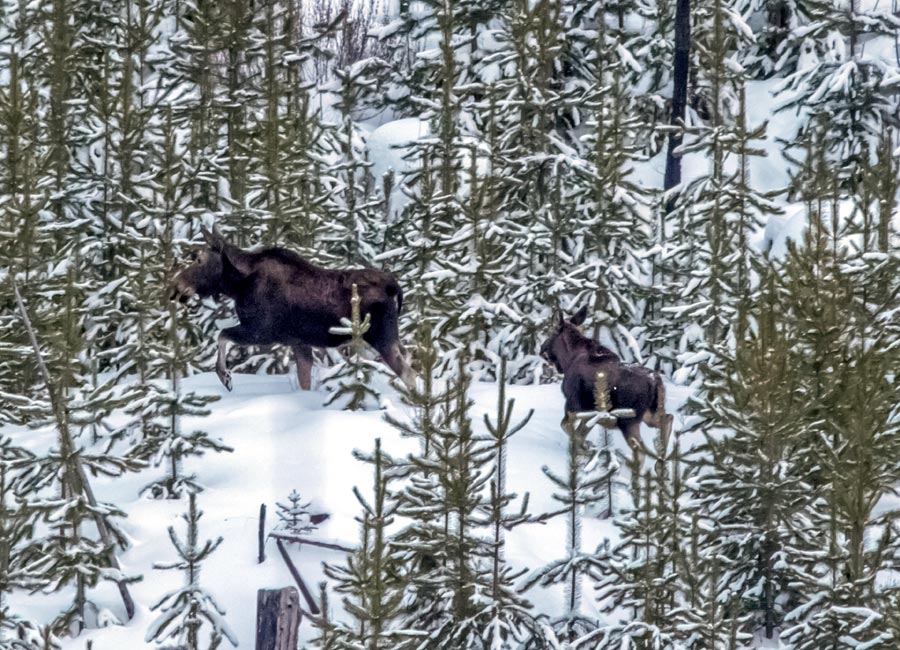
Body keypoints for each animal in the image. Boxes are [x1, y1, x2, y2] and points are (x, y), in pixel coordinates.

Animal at [171, 227, 416, 390]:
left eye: (199, 259)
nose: (177, 287)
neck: (238, 285)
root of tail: (394, 286)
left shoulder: (260, 332)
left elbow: (221, 335)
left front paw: (225, 376)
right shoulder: (298, 342)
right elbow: (304, 380)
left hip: (381, 337)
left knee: (409, 374)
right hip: (385, 337)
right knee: (409, 359)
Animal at [540, 306, 668, 448]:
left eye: (550, 332)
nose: (541, 349)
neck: (568, 360)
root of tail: (655, 382)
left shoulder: (573, 404)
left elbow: (569, 429)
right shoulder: (591, 412)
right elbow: (580, 434)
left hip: (628, 420)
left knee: (640, 446)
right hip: (651, 413)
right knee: (668, 419)